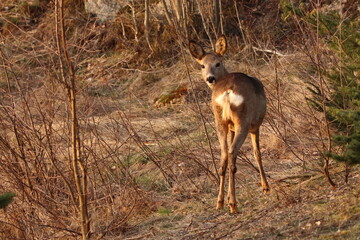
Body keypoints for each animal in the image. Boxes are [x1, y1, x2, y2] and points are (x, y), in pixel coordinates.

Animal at [190, 34, 268, 213]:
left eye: (217, 63)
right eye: (202, 65)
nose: (210, 78)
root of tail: (227, 92)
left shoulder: (230, 127)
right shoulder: (255, 125)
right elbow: (257, 153)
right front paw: (265, 187)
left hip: (220, 120)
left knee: (224, 154)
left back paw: (220, 202)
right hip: (243, 121)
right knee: (232, 153)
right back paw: (233, 203)